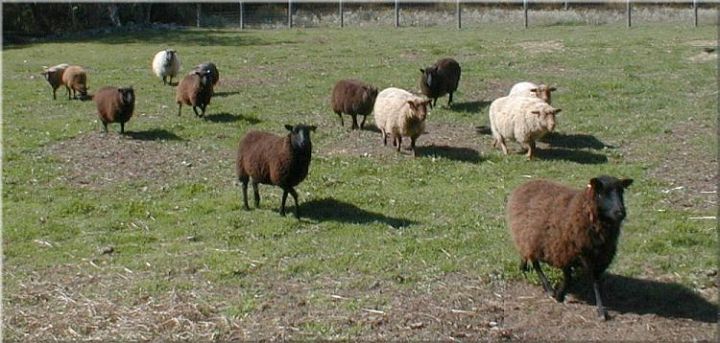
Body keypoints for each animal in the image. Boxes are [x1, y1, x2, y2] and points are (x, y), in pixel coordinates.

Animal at [506, 176, 632, 322]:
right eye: (601, 193)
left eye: (621, 192)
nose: (621, 212)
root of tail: (527, 183)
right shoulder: (566, 253)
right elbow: (568, 278)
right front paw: (559, 295)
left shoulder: (598, 258)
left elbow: (595, 283)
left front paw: (601, 311)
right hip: (531, 239)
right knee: (535, 262)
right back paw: (548, 288)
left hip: (527, 238)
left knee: (526, 255)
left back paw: (523, 267)